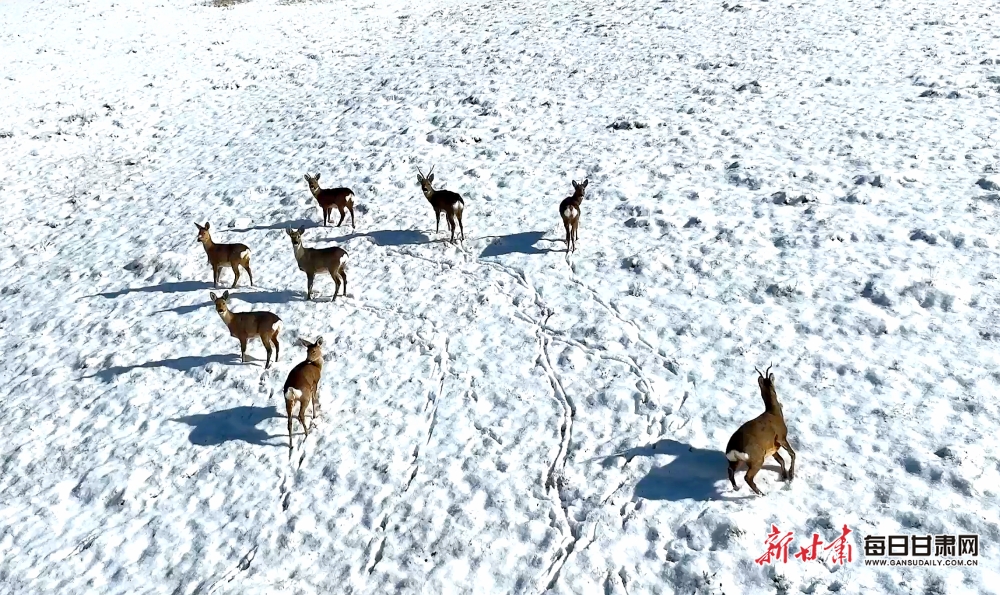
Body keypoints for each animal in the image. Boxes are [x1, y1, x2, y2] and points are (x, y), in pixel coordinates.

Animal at [724, 364, 800, 498]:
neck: (774, 413)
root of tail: (732, 449)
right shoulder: (781, 437)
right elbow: (792, 454)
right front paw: (791, 476)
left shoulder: (772, 447)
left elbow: (781, 460)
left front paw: (784, 476)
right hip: (757, 459)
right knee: (747, 477)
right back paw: (761, 494)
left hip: (737, 460)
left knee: (730, 470)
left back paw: (737, 488)